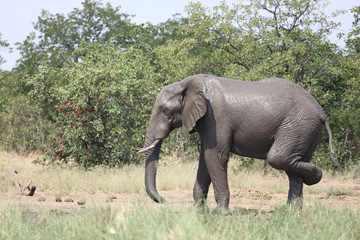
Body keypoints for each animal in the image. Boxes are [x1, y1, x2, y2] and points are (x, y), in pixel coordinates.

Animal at [139, 73, 344, 212]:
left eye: (164, 110)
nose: (164, 200)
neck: (188, 84)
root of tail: (321, 111)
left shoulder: (216, 118)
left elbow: (215, 157)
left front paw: (220, 213)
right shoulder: (207, 121)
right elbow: (205, 159)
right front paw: (199, 212)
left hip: (298, 126)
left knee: (279, 158)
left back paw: (315, 177)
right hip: (305, 130)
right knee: (293, 165)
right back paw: (292, 211)